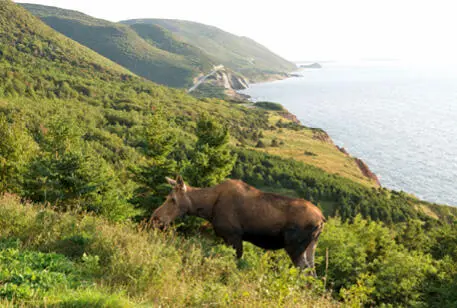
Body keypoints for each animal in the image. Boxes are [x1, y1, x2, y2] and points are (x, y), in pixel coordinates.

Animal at [151, 176, 326, 274]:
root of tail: (322, 220)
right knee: (313, 273)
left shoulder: (234, 236)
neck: (208, 208)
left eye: (172, 199)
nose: (155, 218)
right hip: (310, 247)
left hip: (294, 247)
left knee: (305, 272)